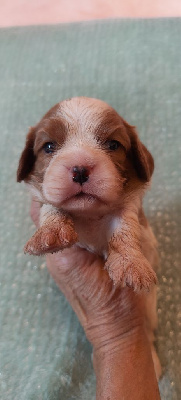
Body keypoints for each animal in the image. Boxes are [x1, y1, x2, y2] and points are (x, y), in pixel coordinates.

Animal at [17, 97, 158, 290]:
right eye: (49, 146)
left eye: (113, 145)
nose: (80, 170)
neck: (89, 214)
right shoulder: (46, 196)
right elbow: (51, 206)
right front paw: (51, 231)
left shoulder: (129, 206)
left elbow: (125, 228)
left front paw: (130, 263)